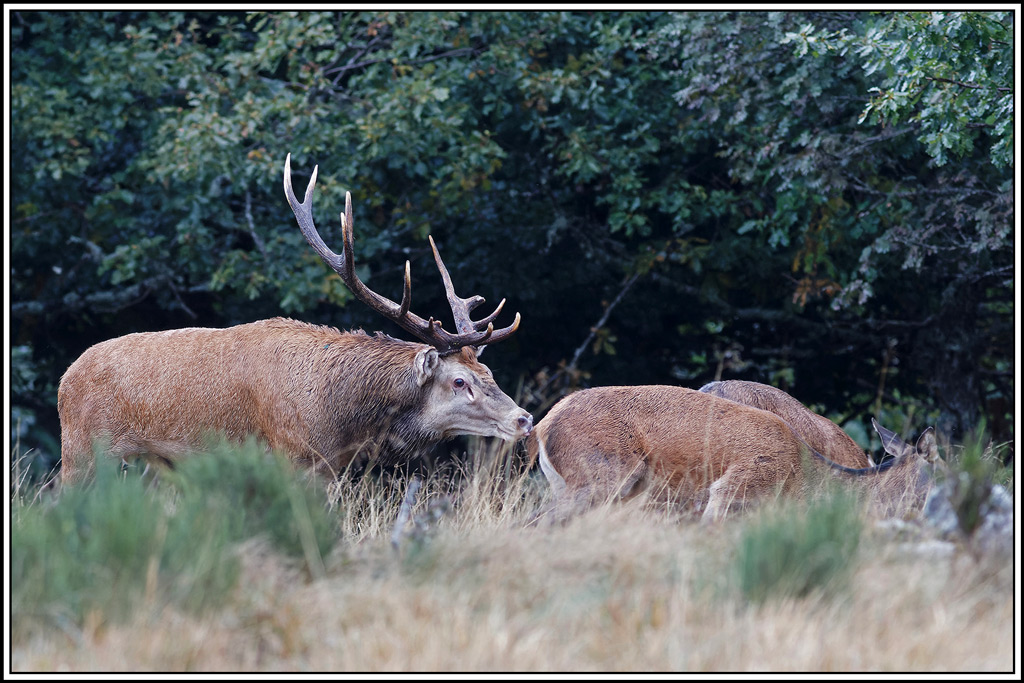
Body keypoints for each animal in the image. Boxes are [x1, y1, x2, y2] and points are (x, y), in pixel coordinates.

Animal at [57, 154, 533, 486]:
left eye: (489, 372)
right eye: (459, 381)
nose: (524, 419)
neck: (340, 418)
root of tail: (64, 381)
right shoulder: (293, 455)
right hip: (82, 449)